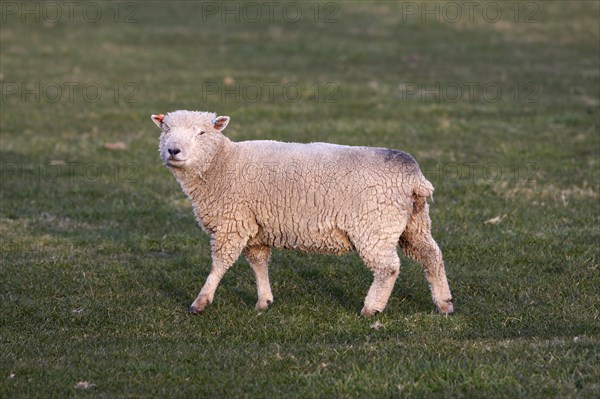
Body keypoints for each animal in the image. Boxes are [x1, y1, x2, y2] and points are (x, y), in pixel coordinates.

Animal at [152, 111, 452, 318]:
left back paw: (371, 308)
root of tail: (414, 177)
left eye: (202, 133)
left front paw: (200, 302)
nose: (173, 150)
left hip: (375, 226)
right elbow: (258, 263)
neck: (222, 164)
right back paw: (444, 303)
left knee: (388, 268)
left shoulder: (233, 222)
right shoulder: (256, 225)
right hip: (413, 223)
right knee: (431, 255)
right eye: (166, 129)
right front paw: (264, 301)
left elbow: (220, 264)